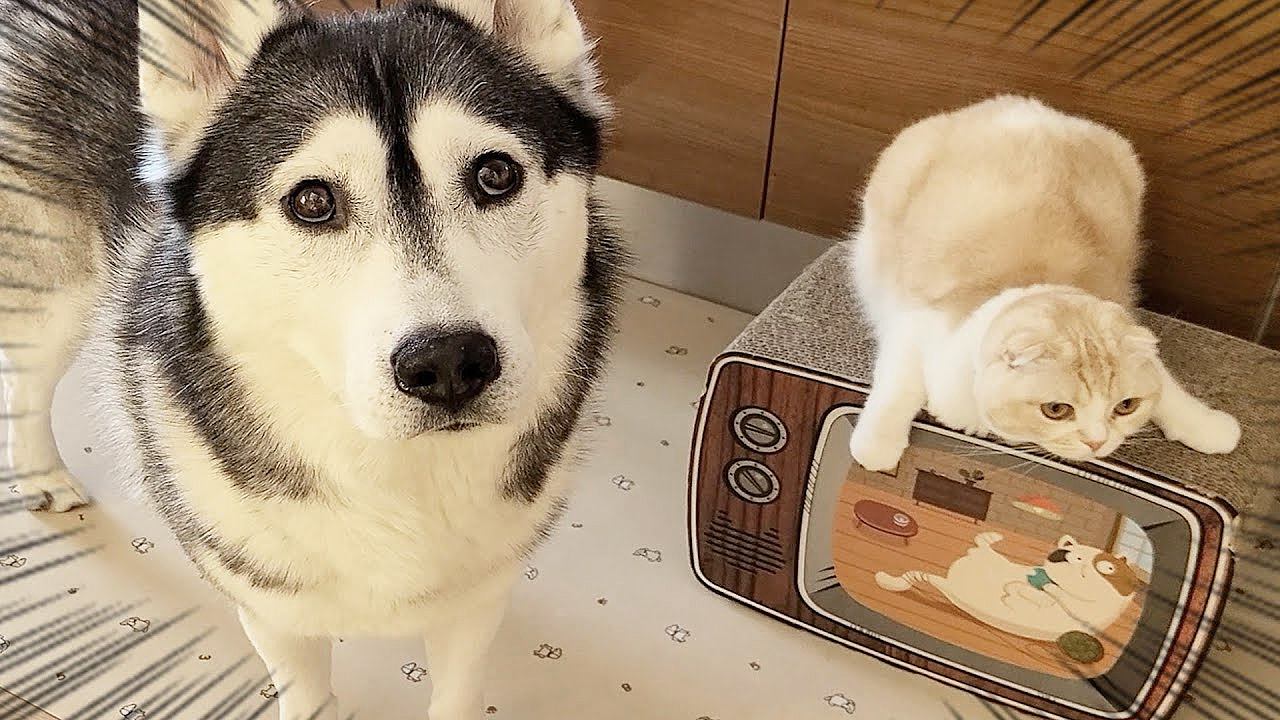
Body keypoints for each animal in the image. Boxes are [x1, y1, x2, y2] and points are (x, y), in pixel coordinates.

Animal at [0, 2, 624, 712]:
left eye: (496, 175)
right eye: (312, 201)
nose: (447, 363)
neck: (397, 474)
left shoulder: (477, 604)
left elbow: (457, 694)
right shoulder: (275, 613)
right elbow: (306, 694)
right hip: (57, 284)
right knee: (25, 378)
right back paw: (42, 475)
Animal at [849, 95, 1239, 468]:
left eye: (1125, 406)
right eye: (1056, 410)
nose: (1098, 442)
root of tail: (1027, 108)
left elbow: (1169, 390)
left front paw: (1210, 429)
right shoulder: (915, 324)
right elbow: (897, 388)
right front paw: (875, 447)